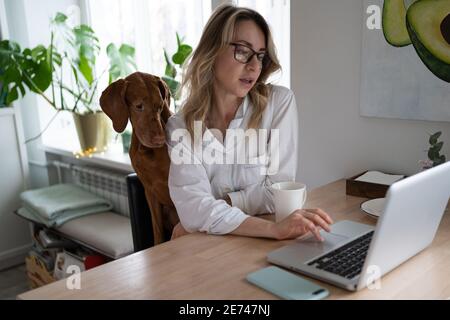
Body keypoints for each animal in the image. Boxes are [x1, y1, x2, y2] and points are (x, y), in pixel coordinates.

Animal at [100, 72, 179, 245]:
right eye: (139, 106)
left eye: (160, 106)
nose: (160, 139)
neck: (147, 151)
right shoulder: (149, 191)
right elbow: (157, 232)